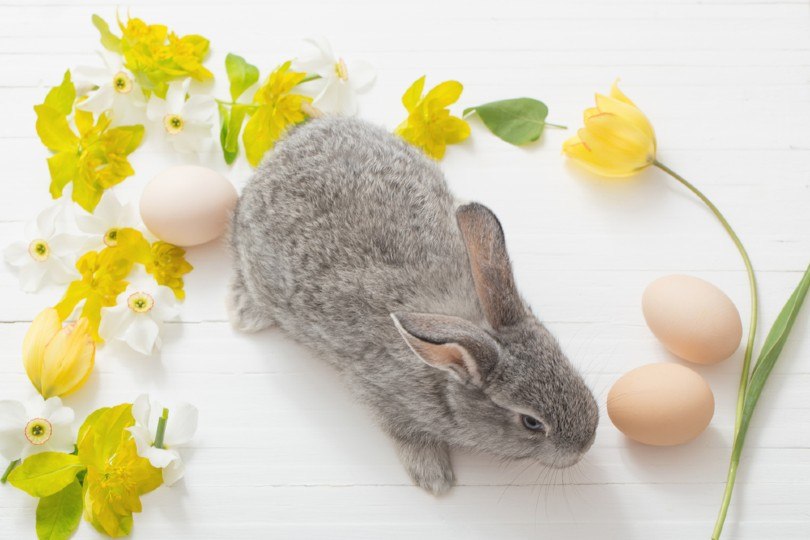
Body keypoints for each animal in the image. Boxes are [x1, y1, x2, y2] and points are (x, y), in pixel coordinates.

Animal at [228, 116, 598, 494]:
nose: (585, 443)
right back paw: (244, 314)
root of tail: (288, 143)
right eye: (531, 422)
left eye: (563, 358)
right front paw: (434, 478)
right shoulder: (385, 398)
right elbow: (408, 435)